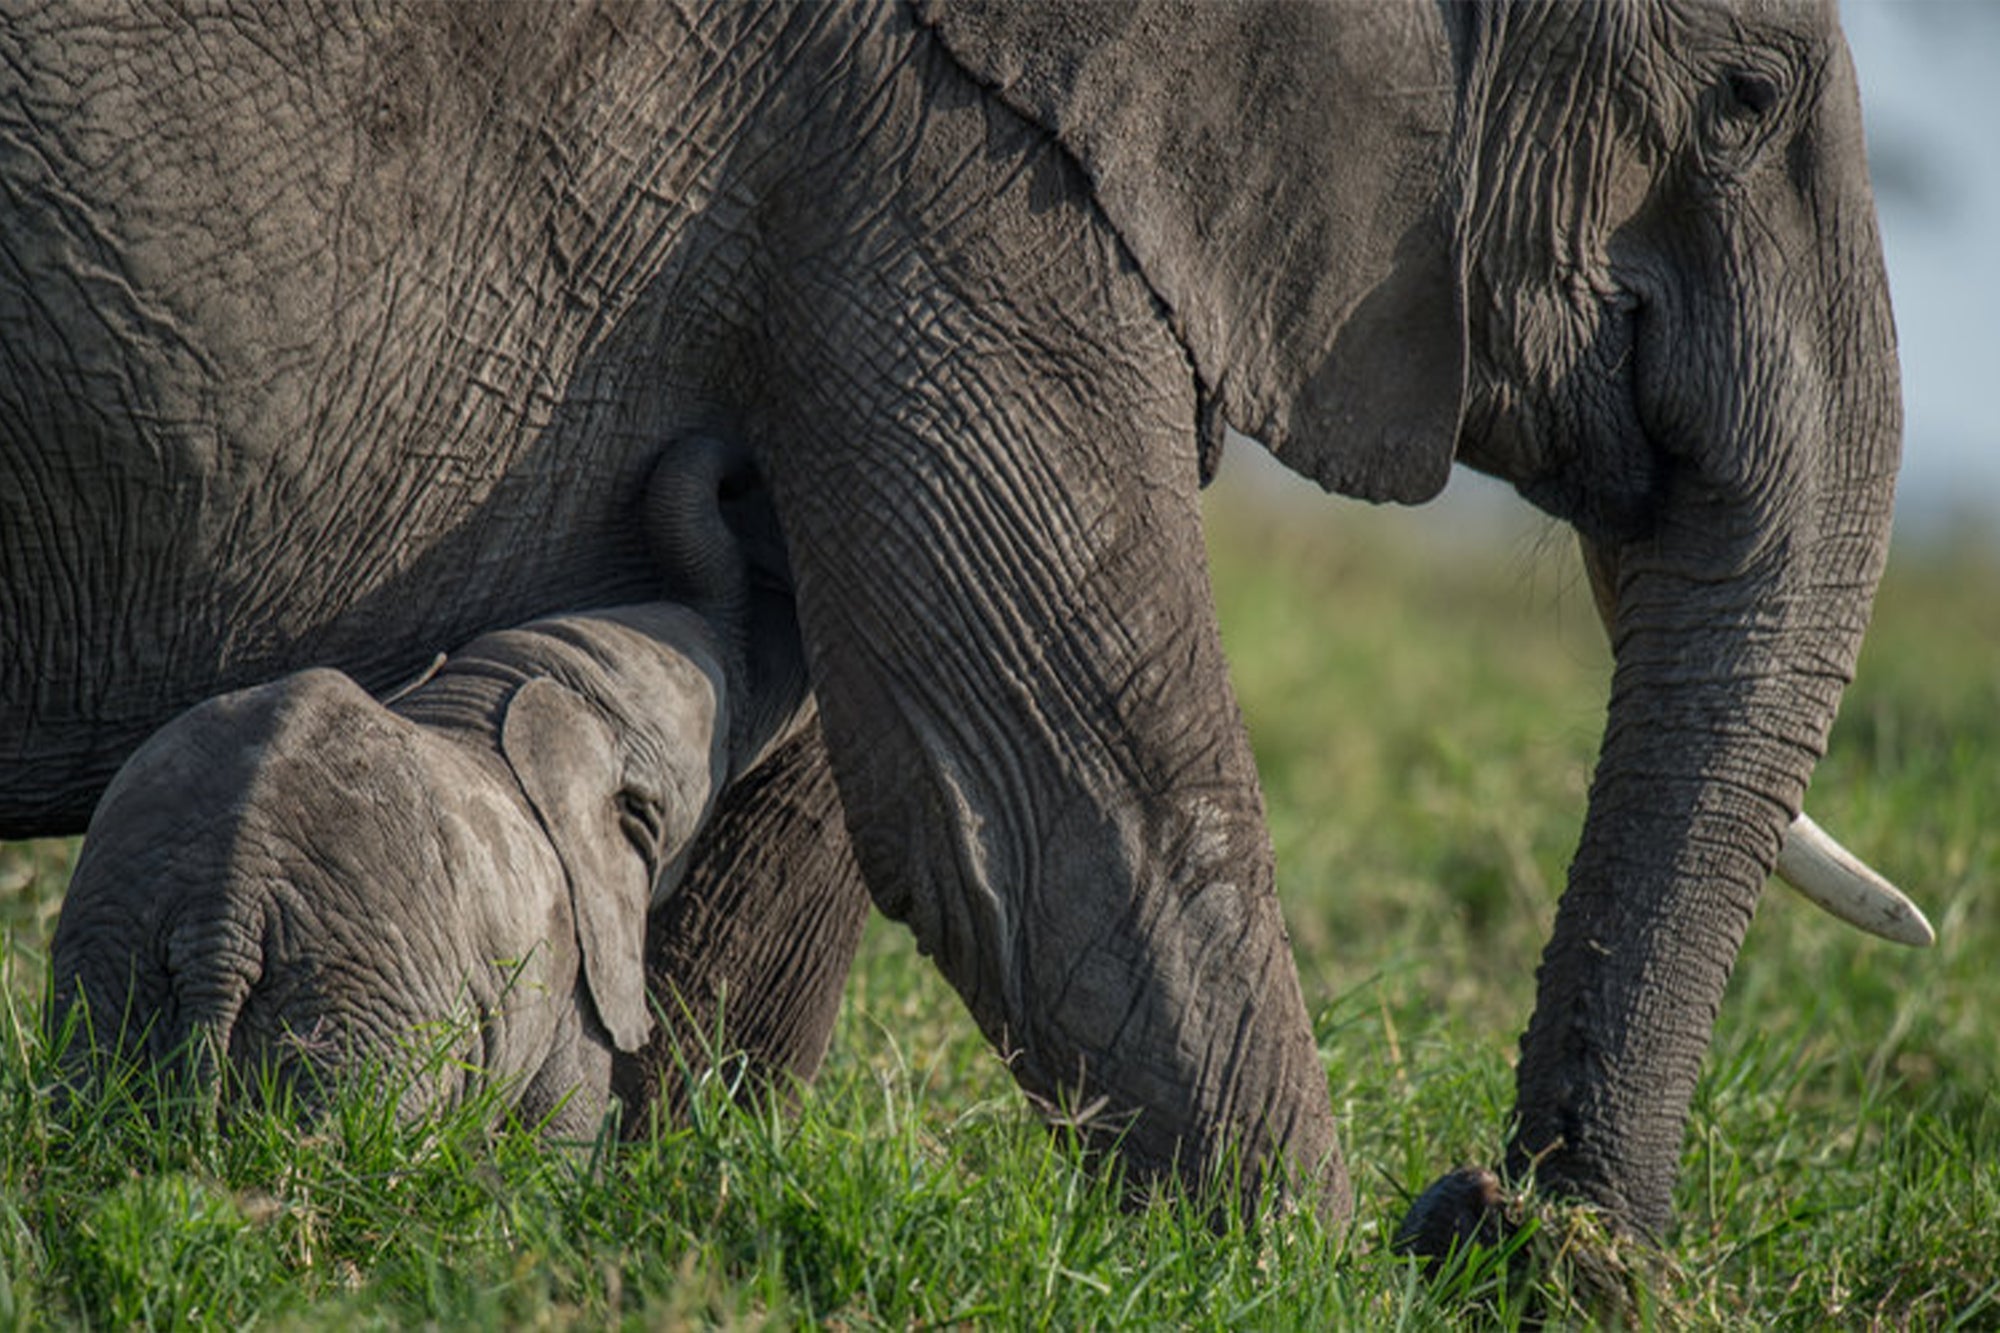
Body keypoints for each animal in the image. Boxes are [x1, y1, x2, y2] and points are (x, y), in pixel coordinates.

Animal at [0, 5, 1904, 1240]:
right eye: (1740, 99)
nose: (1509, 1219)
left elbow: (863, 781)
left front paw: (657, 1212)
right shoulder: (943, 159)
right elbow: (1053, 804)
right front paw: (1298, 1270)